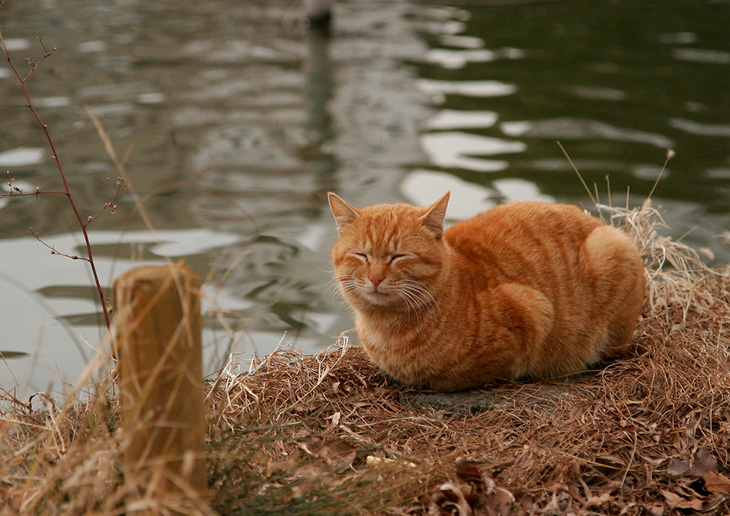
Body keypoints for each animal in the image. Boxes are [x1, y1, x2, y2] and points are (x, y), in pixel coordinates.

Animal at [328, 192, 640, 392]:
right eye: (361, 255)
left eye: (399, 256)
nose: (376, 278)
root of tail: (598, 222)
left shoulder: (531, 311)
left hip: (610, 249)